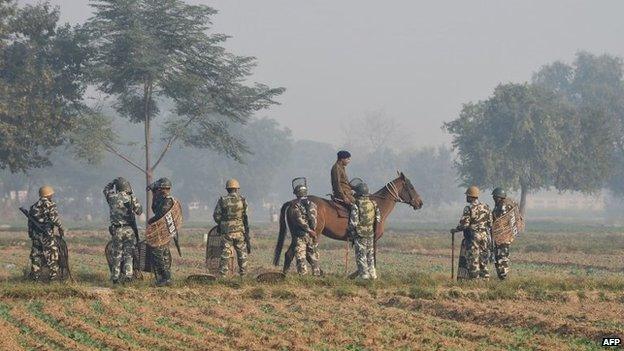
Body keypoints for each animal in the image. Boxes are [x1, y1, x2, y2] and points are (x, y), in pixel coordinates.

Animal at [272, 173, 424, 272]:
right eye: (411, 187)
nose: (420, 203)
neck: (378, 205)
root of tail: (294, 201)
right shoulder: (373, 238)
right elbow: (372, 258)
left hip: (297, 235)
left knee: (290, 253)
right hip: (310, 234)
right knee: (302, 254)